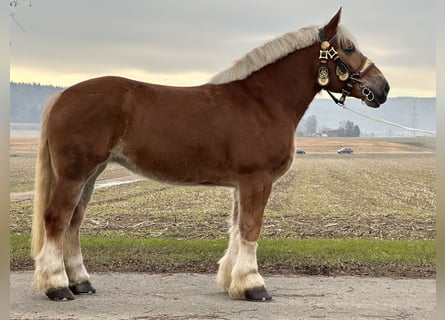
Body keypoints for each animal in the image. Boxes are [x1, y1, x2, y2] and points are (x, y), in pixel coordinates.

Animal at [31, 8, 386, 302]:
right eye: (349, 49)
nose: (382, 88)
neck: (263, 101)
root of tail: (62, 95)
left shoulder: (242, 184)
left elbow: (237, 228)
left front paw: (232, 282)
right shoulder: (257, 180)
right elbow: (250, 228)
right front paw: (253, 285)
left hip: (91, 174)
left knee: (74, 222)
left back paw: (81, 282)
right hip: (74, 174)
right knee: (57, 219)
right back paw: (58, 286)